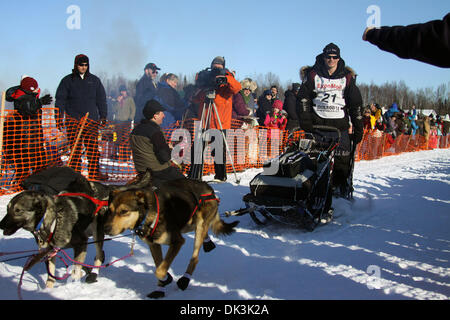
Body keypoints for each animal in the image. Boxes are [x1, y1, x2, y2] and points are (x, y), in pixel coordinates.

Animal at [105, 178, 239, 298]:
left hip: (200, 225)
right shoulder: (153, 244)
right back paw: (208, 244)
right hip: (188, 223)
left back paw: (185, 280)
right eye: (110, 210)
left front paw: (166, 278)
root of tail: (208, 187)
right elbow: (159, 265)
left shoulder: (177, 242)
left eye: (124, 211)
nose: (106, 229)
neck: (148, 214)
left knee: (195, 258)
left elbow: (159, 271)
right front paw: (160, 288)